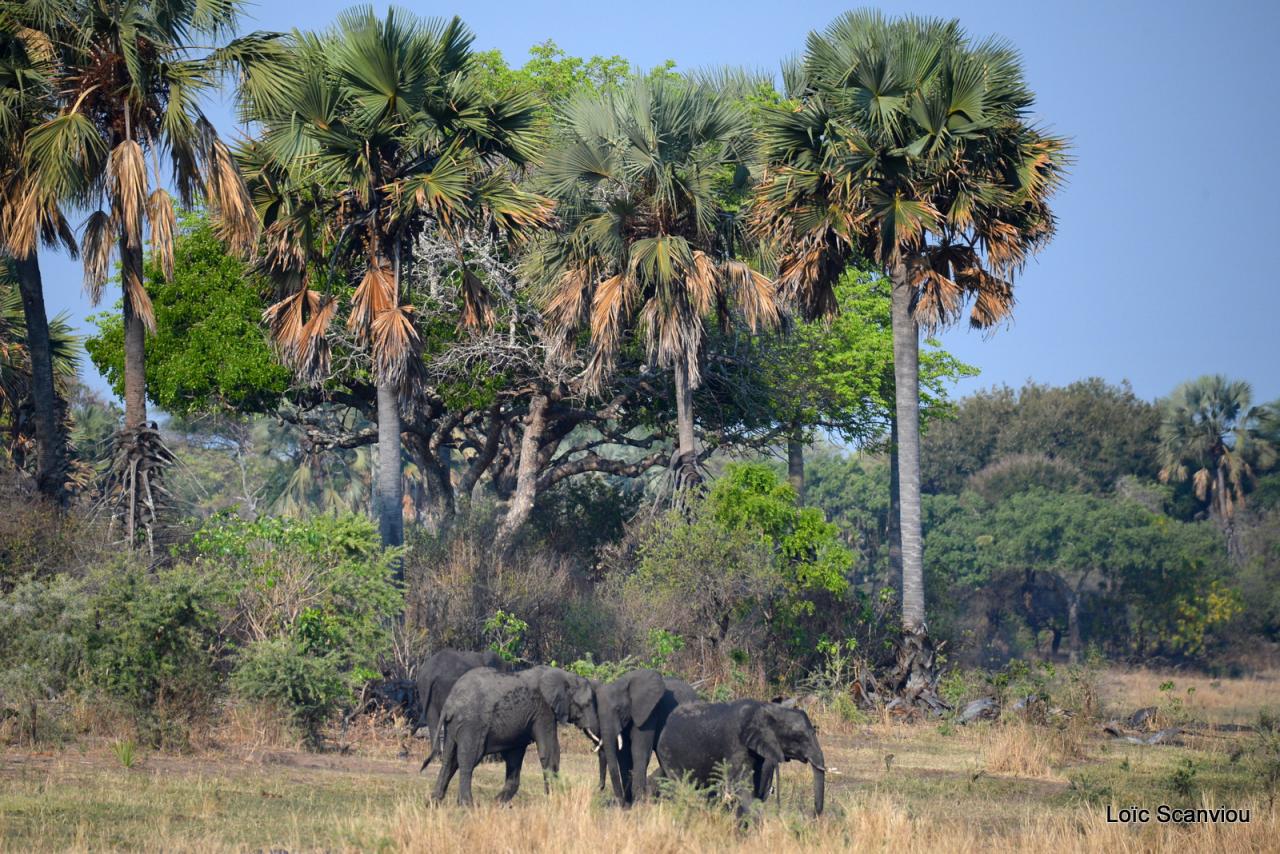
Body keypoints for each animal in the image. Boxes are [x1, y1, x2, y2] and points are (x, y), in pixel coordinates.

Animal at [430, 665, 599, 804]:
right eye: (587, 704)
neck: (566, 676)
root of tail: (449, 704)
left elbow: (514, 757)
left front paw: (497, 803)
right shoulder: (544, 712)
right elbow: (550, 752)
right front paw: (555, 800)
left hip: (454, 726)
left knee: (449, 760)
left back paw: (433, 803)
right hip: (471, 724)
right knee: (468, 761)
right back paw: (468, 805)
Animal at [591, 670, 696, 804]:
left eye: (618, 709)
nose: (599, 788)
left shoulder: (648, 713)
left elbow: (639, 751)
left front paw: (639, 802)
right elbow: (623, 755)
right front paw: (630, 801)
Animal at [655, 701, 824, 814]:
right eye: (800, 738)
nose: (815, 815)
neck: (767, 710)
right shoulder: (735, 744)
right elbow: (742, 785)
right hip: (668, 751)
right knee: (680, 787)